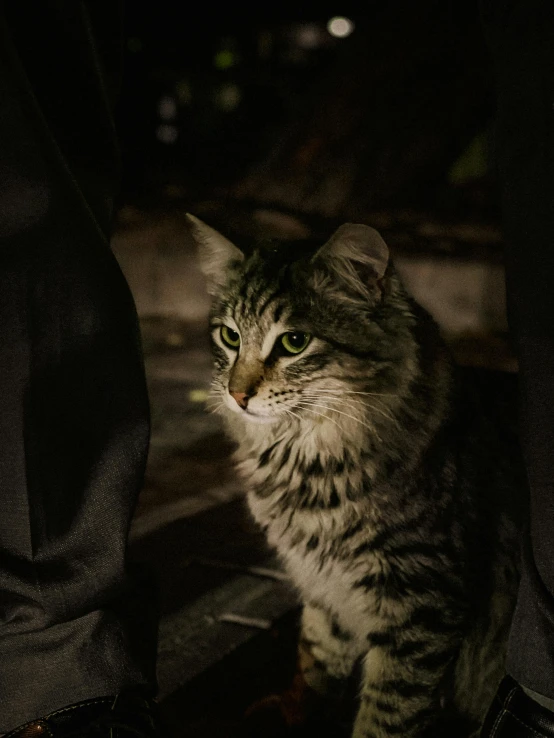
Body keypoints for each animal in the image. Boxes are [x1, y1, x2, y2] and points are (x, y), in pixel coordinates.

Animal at [188, 214, 524, 736]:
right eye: (230, 337)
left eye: (294, 342)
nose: (236, 395)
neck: (306, 463)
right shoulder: (325, 588)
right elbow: (314, 661)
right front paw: (295, 714)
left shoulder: (422, 605)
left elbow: (386, 714)